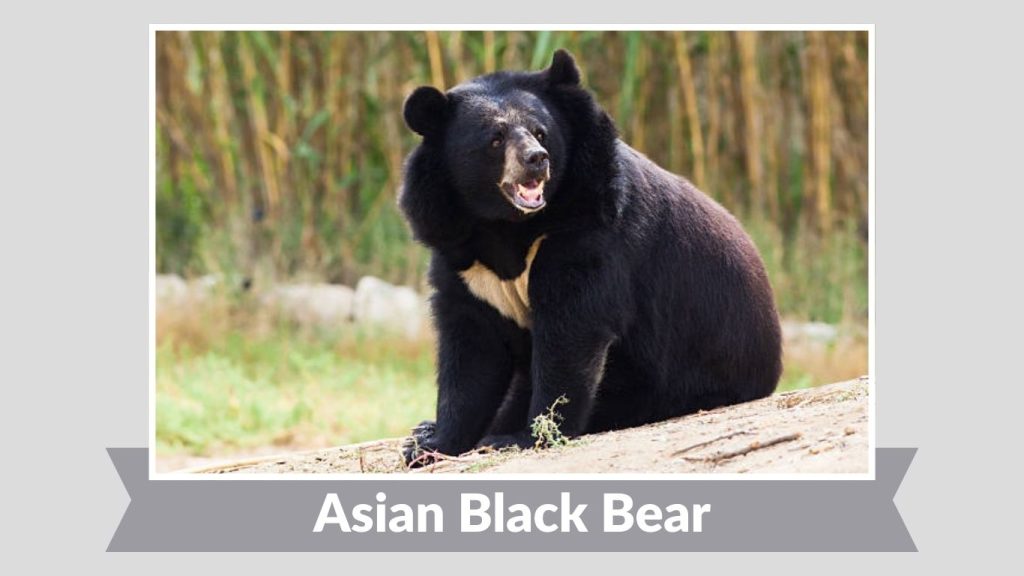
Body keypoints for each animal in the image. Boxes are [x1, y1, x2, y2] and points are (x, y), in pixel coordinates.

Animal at [399, 49, 782, 466]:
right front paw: (431, 444)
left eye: (540, 132)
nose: (536, 159)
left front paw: (523, 437)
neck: (506, 225)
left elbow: (572, 330)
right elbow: (472, 348)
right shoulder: (462, 256)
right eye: (495, 139)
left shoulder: (588, 232)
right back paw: (423, 428)